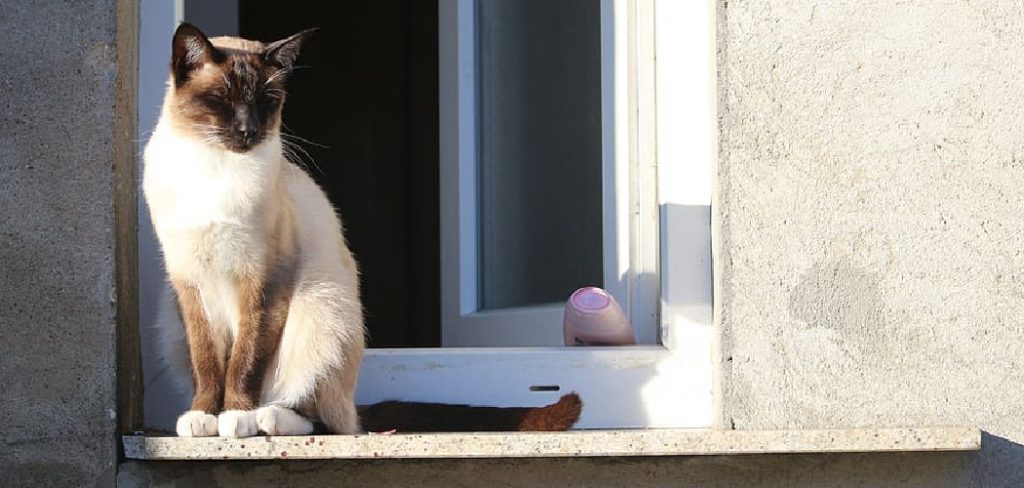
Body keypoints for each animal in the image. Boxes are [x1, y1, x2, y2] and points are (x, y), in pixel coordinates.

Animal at [142, 22, 585, 435]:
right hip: (171, 318)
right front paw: (203, 416)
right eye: (222, 100)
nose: (249, 130)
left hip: (318, 307)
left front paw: (235, 416)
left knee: (325, 418)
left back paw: (268, 417)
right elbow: (206, 363)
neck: (214, 168)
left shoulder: (264, 280)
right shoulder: (187, 283)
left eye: (266, 102)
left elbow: (245, 361)